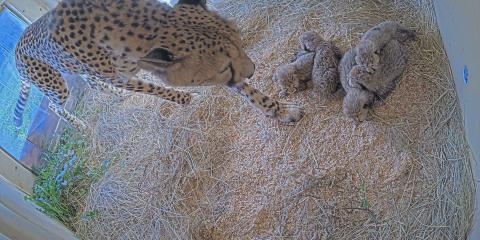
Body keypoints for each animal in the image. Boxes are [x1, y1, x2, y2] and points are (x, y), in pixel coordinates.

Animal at [14, 0, 304, 131]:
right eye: (224, 68)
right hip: (55, 85)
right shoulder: (124, 75)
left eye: (241, 43)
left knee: (92, 81)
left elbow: (245, 91)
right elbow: (154, 88)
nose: (253, 70)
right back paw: (80, 124)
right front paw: (185, 99)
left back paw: (116, 96)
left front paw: (278, 109)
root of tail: (16, 50)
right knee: (55, 105)